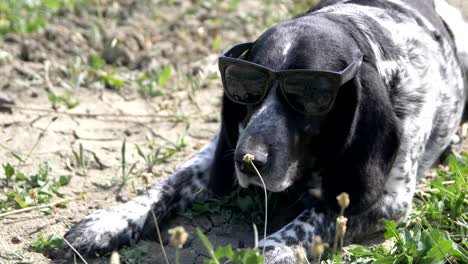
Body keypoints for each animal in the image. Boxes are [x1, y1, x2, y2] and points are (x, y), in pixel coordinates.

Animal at [66, 0, 468, 262]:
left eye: (309, 96)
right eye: (247, 88)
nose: (248, 162)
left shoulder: (387, 198)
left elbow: (316, 217)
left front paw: (270, 251)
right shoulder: (219, 150)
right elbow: (169, 183)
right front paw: (109, 220)